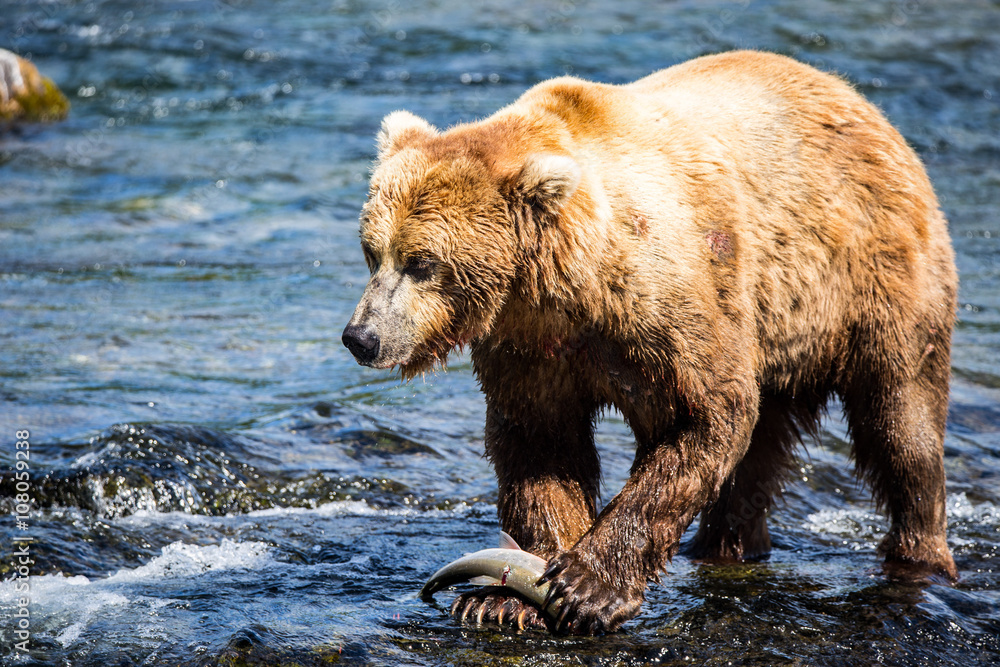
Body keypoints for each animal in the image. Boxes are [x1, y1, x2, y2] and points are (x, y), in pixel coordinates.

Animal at [342, 50, 958, 634]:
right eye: (373, 252)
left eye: (422, 263)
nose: (361, 337)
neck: (569, 284)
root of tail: (864, 104)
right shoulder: (529, 347)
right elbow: (539, 447)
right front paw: (503, 599)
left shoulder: (666, 306)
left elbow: (705, 416)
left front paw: (587, 586)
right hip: (780, 338)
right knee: (760, 453)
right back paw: (728, 548)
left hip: (871, 282)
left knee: (901, 427)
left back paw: (920, 556)